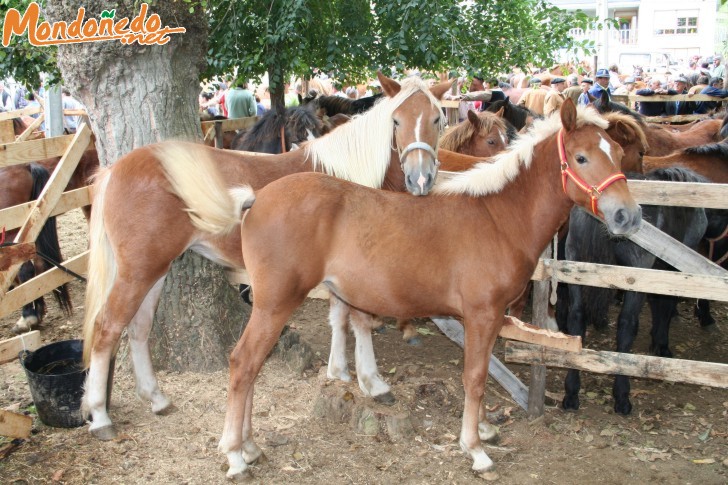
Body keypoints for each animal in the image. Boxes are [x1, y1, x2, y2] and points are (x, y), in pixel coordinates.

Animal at [208, 100, 640, 478]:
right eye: (581, 158)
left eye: (619, 154)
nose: (628, 216)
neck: (497, 217)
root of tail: (257, 199)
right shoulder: (483, 315)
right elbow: (475, 377)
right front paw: (475, 449)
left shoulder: (485, 319)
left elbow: (480, 370)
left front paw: (484, 429)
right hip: (274, 305)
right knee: (244, 364)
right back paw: (236, 455)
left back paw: (250, 446)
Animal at [556, 165, 712, 412]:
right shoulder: (668, 270)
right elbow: (664, 306)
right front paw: (661, 345)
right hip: (634, 277)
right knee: (626, 325)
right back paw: (622, 396)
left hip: (575, 268)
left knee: (576, 319)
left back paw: (571, 393)